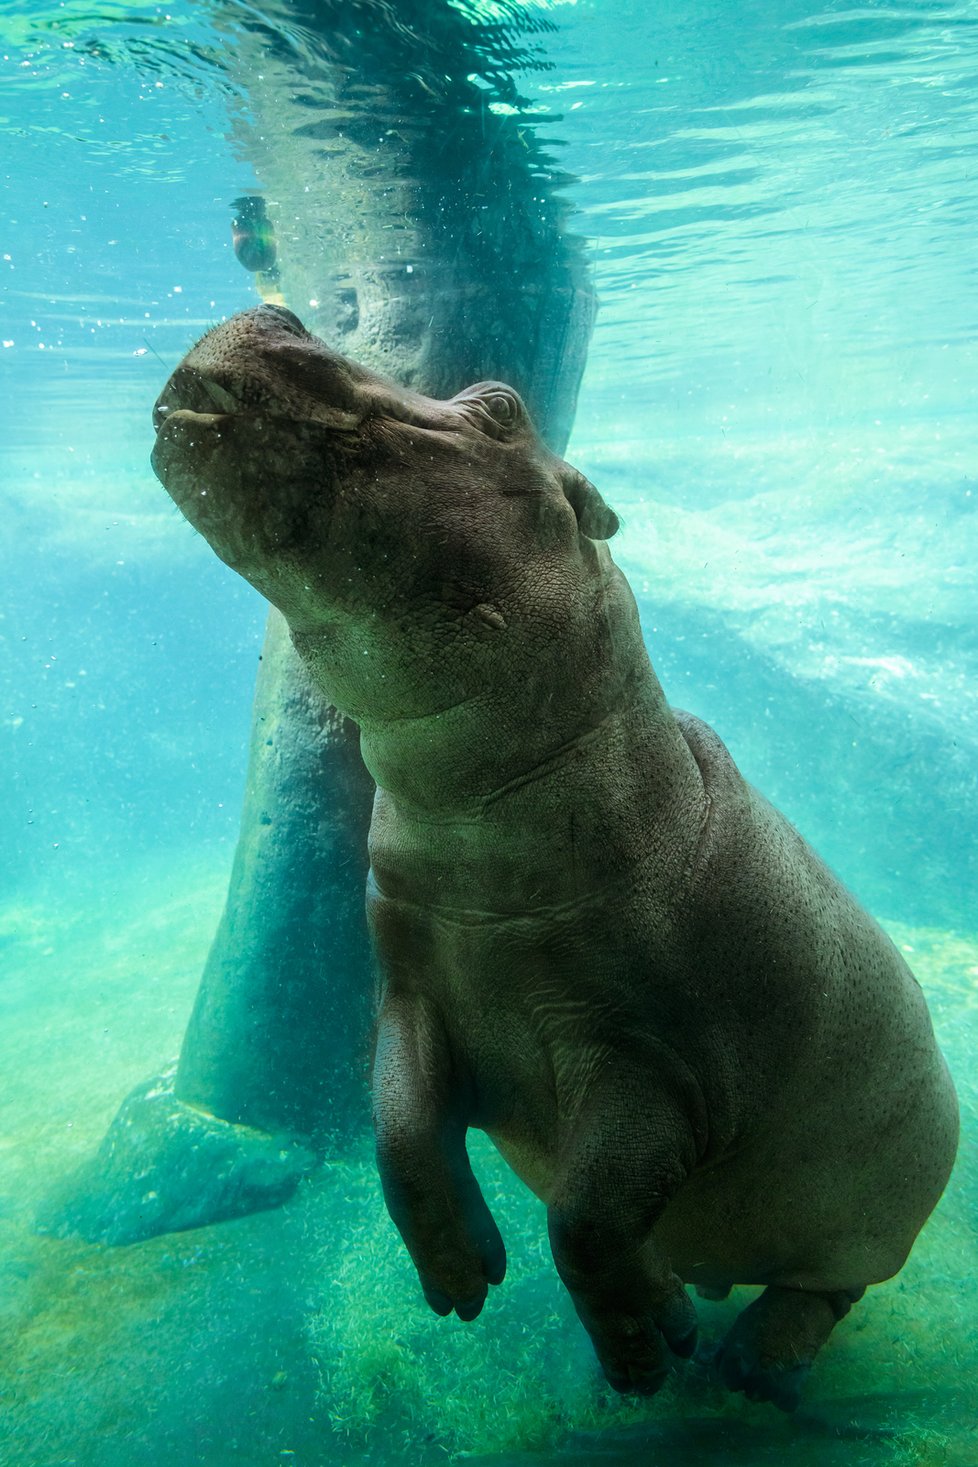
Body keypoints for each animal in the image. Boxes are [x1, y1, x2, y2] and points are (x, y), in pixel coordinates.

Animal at [151, 306, 956, 1408]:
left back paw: (754, 1363)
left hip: (873, 1216)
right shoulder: (415, 987)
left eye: (500, 407)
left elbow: (581, 1218)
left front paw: (646, 1362)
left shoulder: (652, 1058)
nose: (269, 313)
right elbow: (399, 1129)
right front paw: (464, 1286)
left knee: (826, 1288)